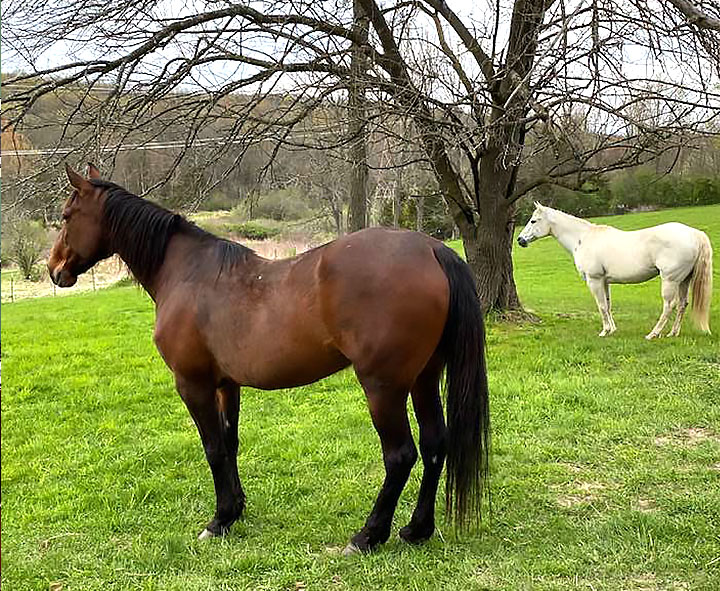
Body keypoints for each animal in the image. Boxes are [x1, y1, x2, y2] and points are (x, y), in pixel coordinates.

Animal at [47, 164, 490, 554]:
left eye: (67, 215)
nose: (54, 270)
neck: (186, 273)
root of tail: (431, 248)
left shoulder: (193, 384)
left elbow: (212, 447)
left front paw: (218, 520)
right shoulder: (226, 385)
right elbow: (230, 442)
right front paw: (236, 510)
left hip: (383, 386)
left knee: (400, 456)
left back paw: (367, 537)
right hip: (424, 378)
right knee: (435, 445)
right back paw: (416, 530)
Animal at [517, 202, 713, 339]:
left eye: (533, 220)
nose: (520, 240)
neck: (583, 238)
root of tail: (695, 234)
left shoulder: (594, 280)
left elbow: (601, 305)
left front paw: (604, 331)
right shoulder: (604, 281)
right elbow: (608, 305)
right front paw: (612, 330)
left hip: (670, 280)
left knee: (669, 305)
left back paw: (653, 334)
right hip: (684, 280)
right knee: (682, 304)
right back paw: (673, 333)